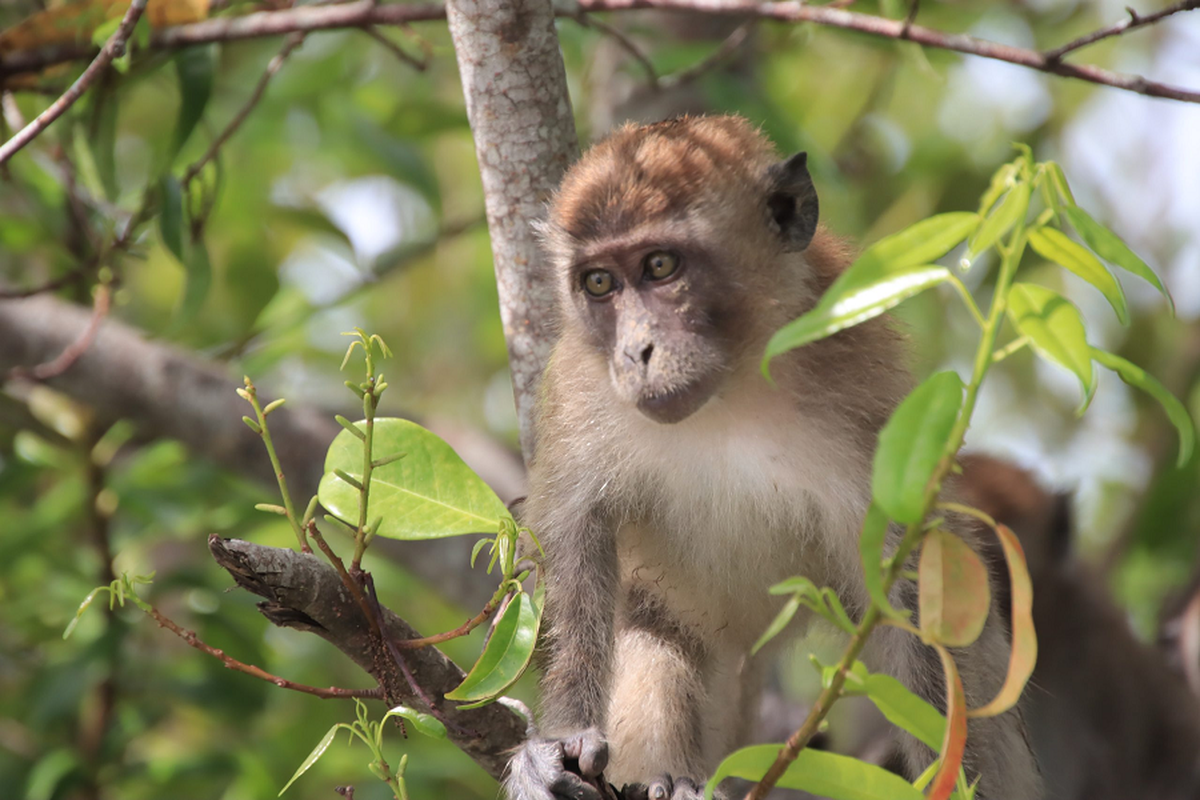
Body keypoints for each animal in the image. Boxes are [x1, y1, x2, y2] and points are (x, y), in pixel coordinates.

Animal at [504, 113, 1041, 800]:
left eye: (660, 266)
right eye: (599, 283)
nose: (635, 353)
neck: (729, 389)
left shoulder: (861, 384)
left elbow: (904, 585)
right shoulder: (578, 387)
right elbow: (574, 537)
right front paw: (559, 742)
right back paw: (669, 779)